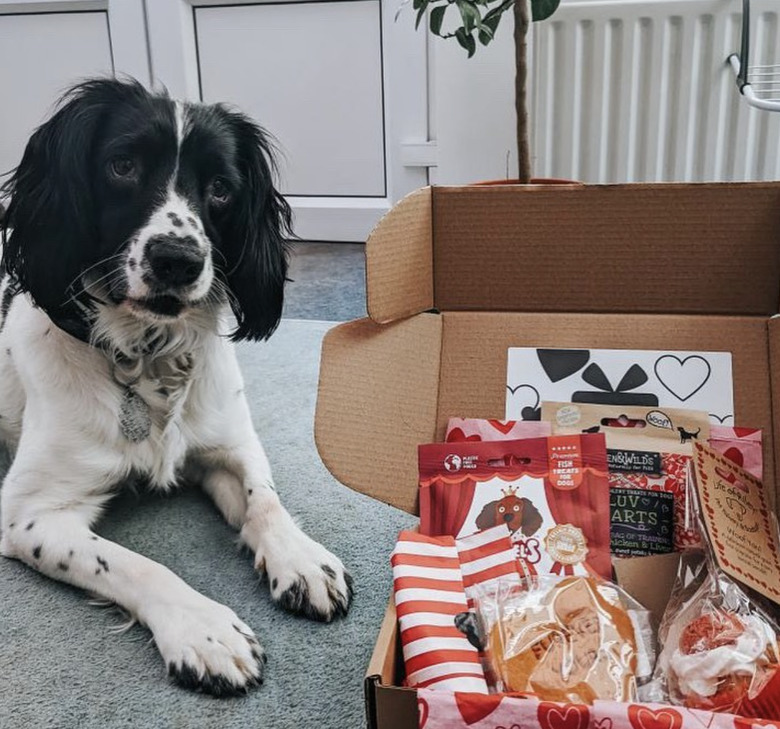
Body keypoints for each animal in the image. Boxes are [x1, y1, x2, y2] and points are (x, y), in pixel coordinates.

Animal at [0, 77, 352, 696]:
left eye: (221, 188)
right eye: (121, 165)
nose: (178, 260)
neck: (148, 358)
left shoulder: (229, 442)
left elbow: (265, 500)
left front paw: (302, 558)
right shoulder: (30, 514)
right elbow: (132, 562)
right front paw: (203, 628)